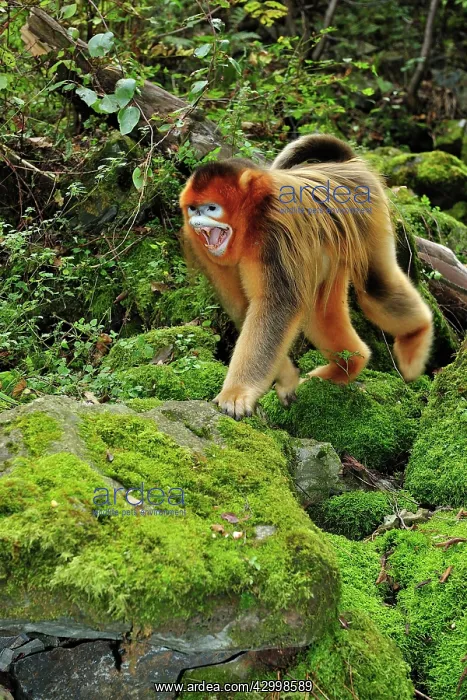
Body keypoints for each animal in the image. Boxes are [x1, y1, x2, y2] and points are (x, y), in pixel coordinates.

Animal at [179, 135, 433, 420]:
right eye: (193, 209)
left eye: (211, 208)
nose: (197, 222)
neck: (252, 219)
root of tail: (345, 166)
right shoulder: (205, 251)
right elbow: (245, 309)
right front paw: (286, 378)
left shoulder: (273, 236)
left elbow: (276, 308)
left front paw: (237, 393)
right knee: (320, 314)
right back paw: (348, 366)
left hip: (370, 212)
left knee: (376, 289)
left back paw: (418, 333)